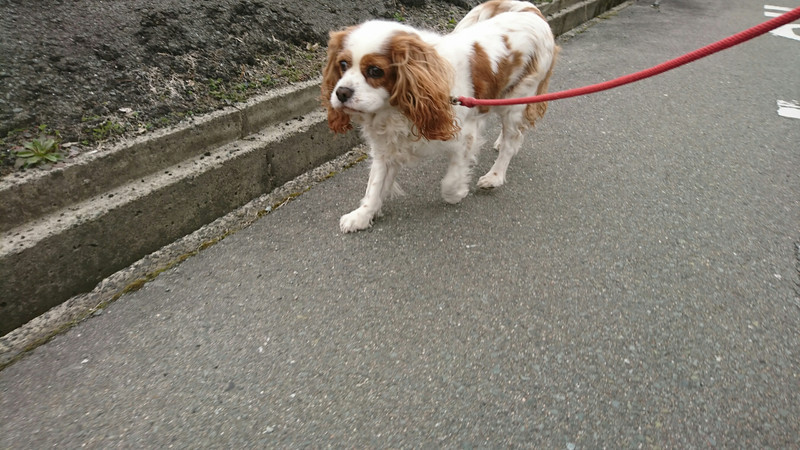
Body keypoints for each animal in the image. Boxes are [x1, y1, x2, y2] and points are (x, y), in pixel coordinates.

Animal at [322, 0, 558, 233]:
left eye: (375, 70)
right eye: (343, 64)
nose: (341, 93)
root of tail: (531, 11)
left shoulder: (464, 136)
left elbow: (449, 183)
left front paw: (458, 193)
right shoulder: (386, 146)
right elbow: (375, 184)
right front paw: (363, 215)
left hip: (517, 102)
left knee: (512, 141)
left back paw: (495, 176)